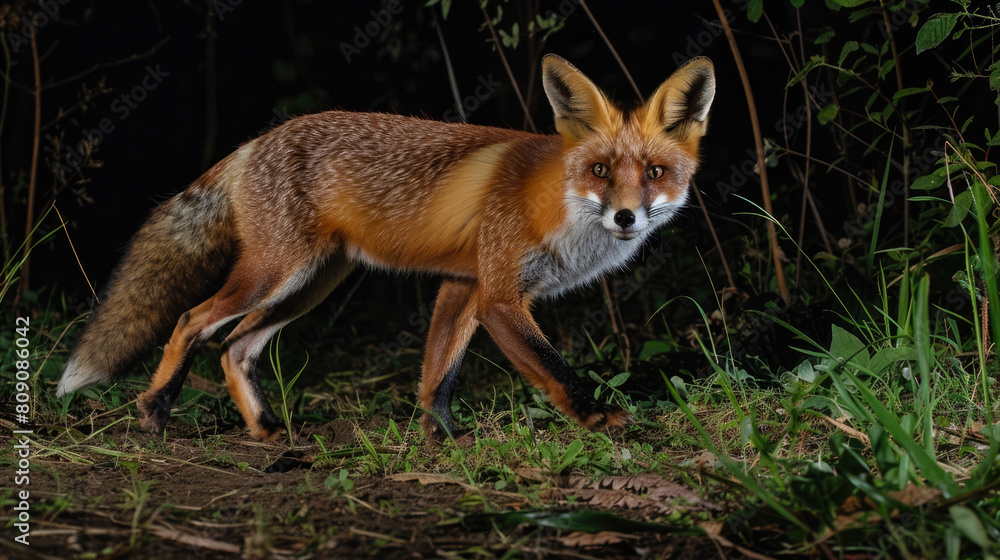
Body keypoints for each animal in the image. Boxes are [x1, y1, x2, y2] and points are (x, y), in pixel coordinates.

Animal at [56, 54, 715, 442]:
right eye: (600, 170)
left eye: (655, 172)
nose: (627, 216)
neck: (556, 205)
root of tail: (257, 141)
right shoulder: (500, 296)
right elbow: (551, 366)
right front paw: (596, 416)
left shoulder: (464, 285)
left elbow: (438, 377)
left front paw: (440, 440)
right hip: (274, 273)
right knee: (193, 321)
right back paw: (155, 410)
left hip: (311, 285)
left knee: (235, 347)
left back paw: (266, 430)